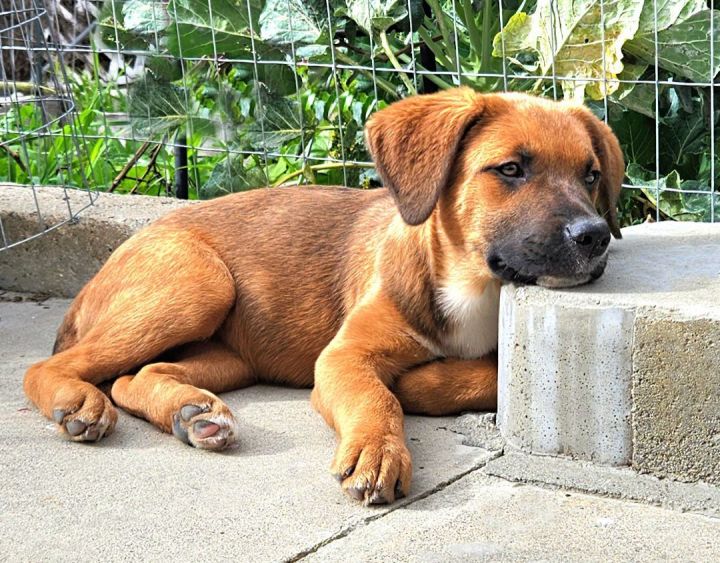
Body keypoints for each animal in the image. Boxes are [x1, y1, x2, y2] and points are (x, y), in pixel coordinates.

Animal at [23, 88, 624, 506]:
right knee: (47, 366)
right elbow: (375, 398)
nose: (595, 236)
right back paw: (77, 402)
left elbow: (491, 370)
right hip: (199, 284)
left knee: (136, 375)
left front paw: (423, 383)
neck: (472, 285)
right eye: (511, 169)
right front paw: (378, 451)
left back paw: (194, 415)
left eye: (591, 176)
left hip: (229, 356)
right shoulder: (343, 356)